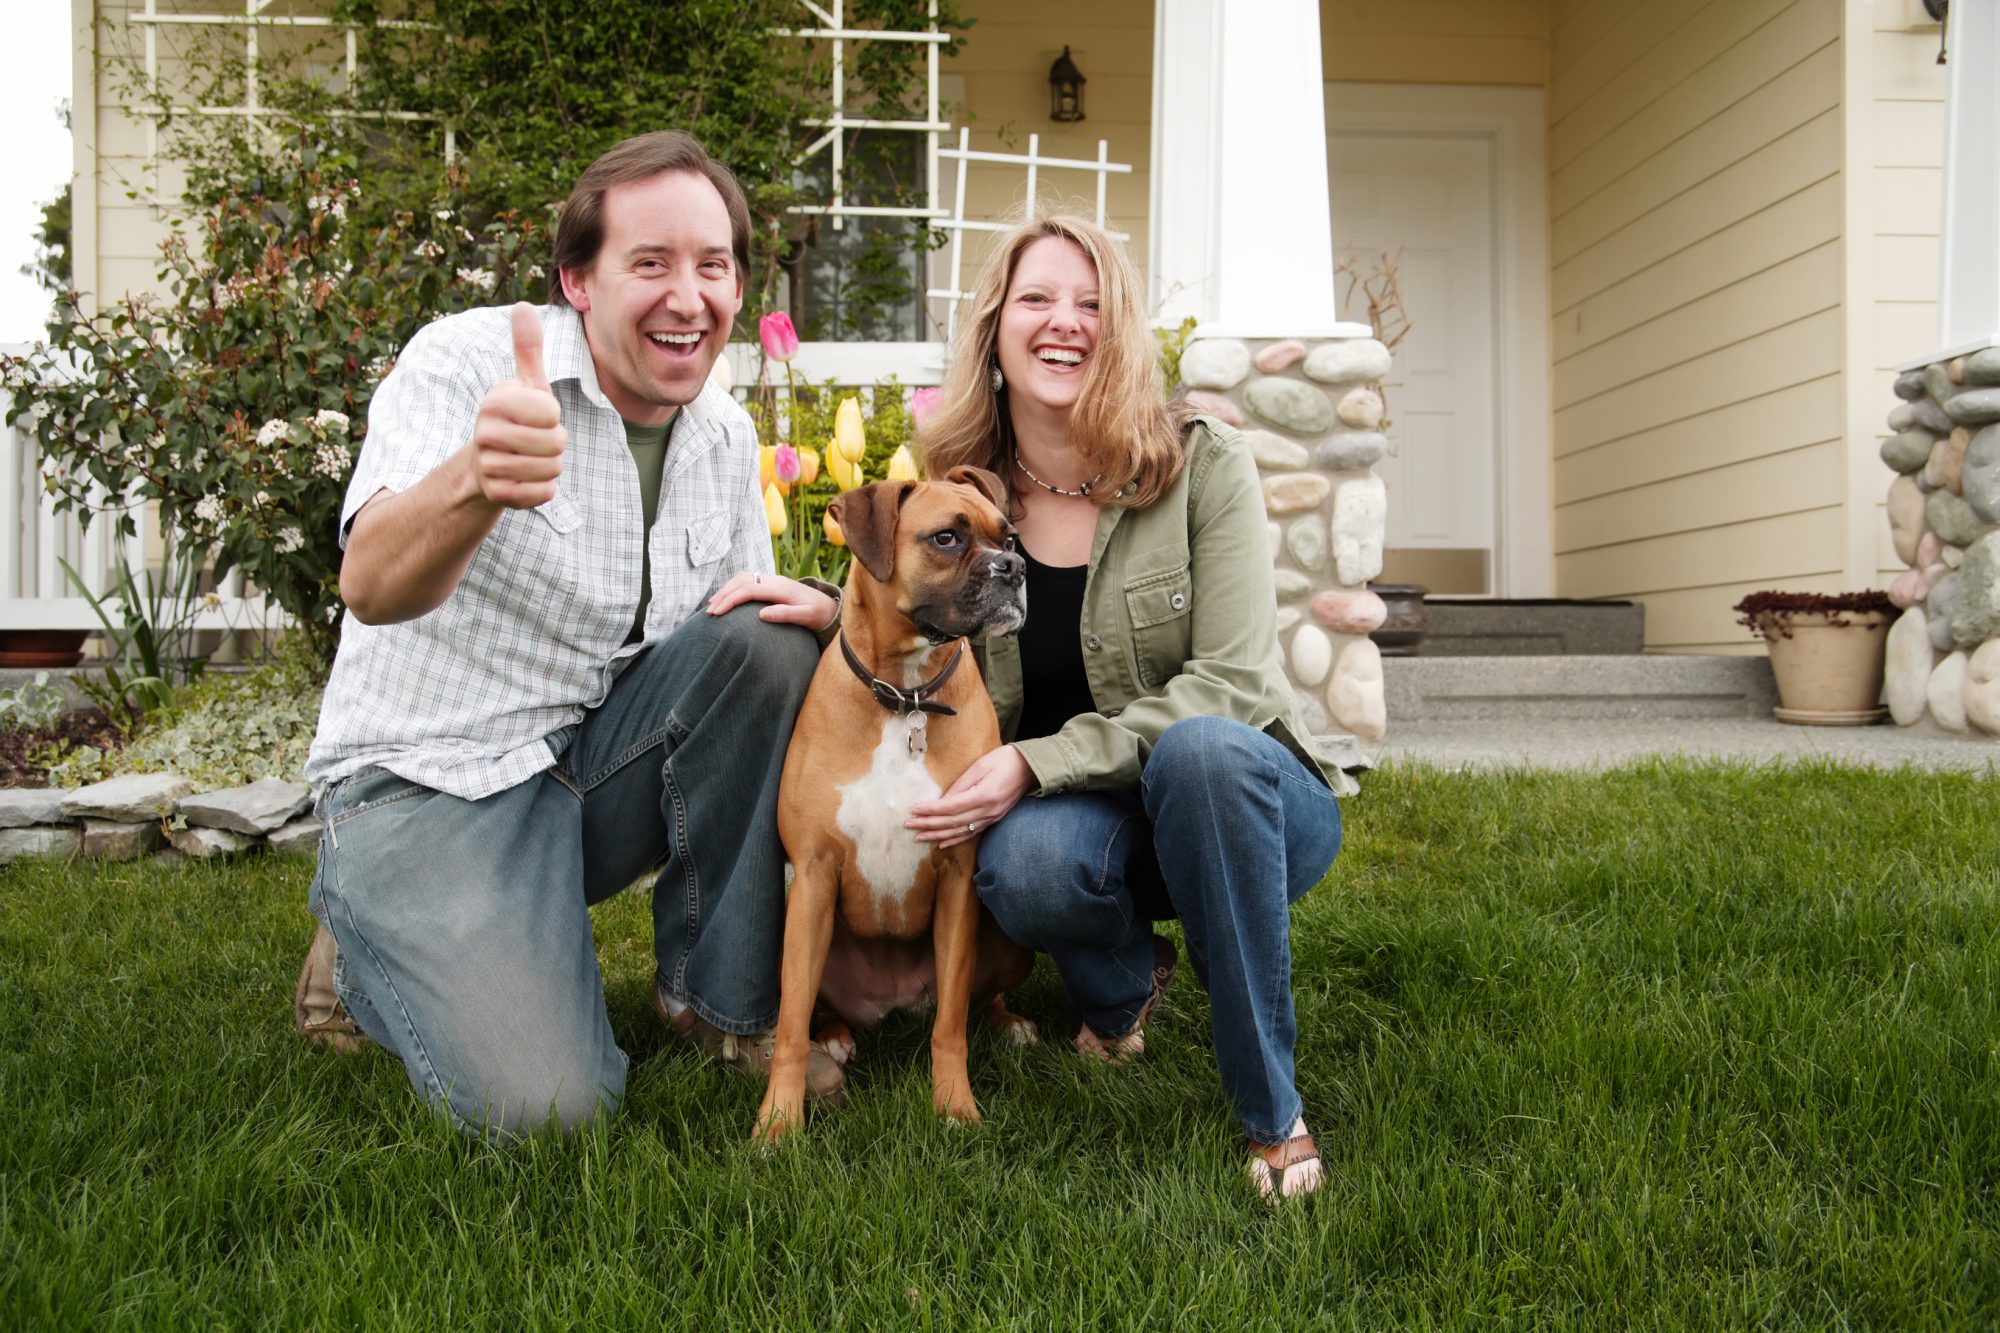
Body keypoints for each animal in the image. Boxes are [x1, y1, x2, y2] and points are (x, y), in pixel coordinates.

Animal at [756, 462, 1040, 1136]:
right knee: (812, 1008)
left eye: (1009, 537)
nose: (1013, 568)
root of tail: (891, 1005)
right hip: (797, 924)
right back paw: (835, 1035)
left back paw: (1009, 1023)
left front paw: (955, 1105)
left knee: (974, 1001)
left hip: (1003, 939)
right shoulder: (812, 874)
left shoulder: (960, 875)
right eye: (946, 539)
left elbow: (951, 1025)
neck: (903, 698)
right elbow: (790, 1026)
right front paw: (778, 1123)